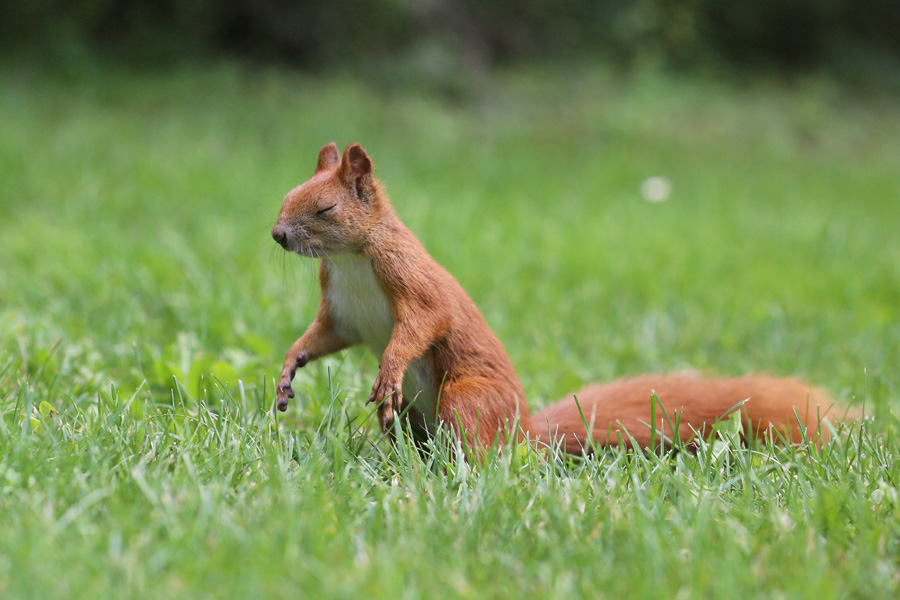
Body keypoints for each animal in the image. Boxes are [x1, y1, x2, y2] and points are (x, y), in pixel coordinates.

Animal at [270, 144, 840, 454]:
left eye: (324, 209)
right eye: (285, 197)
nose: (277, 235)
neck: (351, 259)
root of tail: (524, 436)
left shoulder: (412, 282)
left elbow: (421, 326)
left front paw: (388, 367)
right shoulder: (342, 312)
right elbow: (321, 337)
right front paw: (288, 367)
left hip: (468, 397)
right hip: (413, 416)